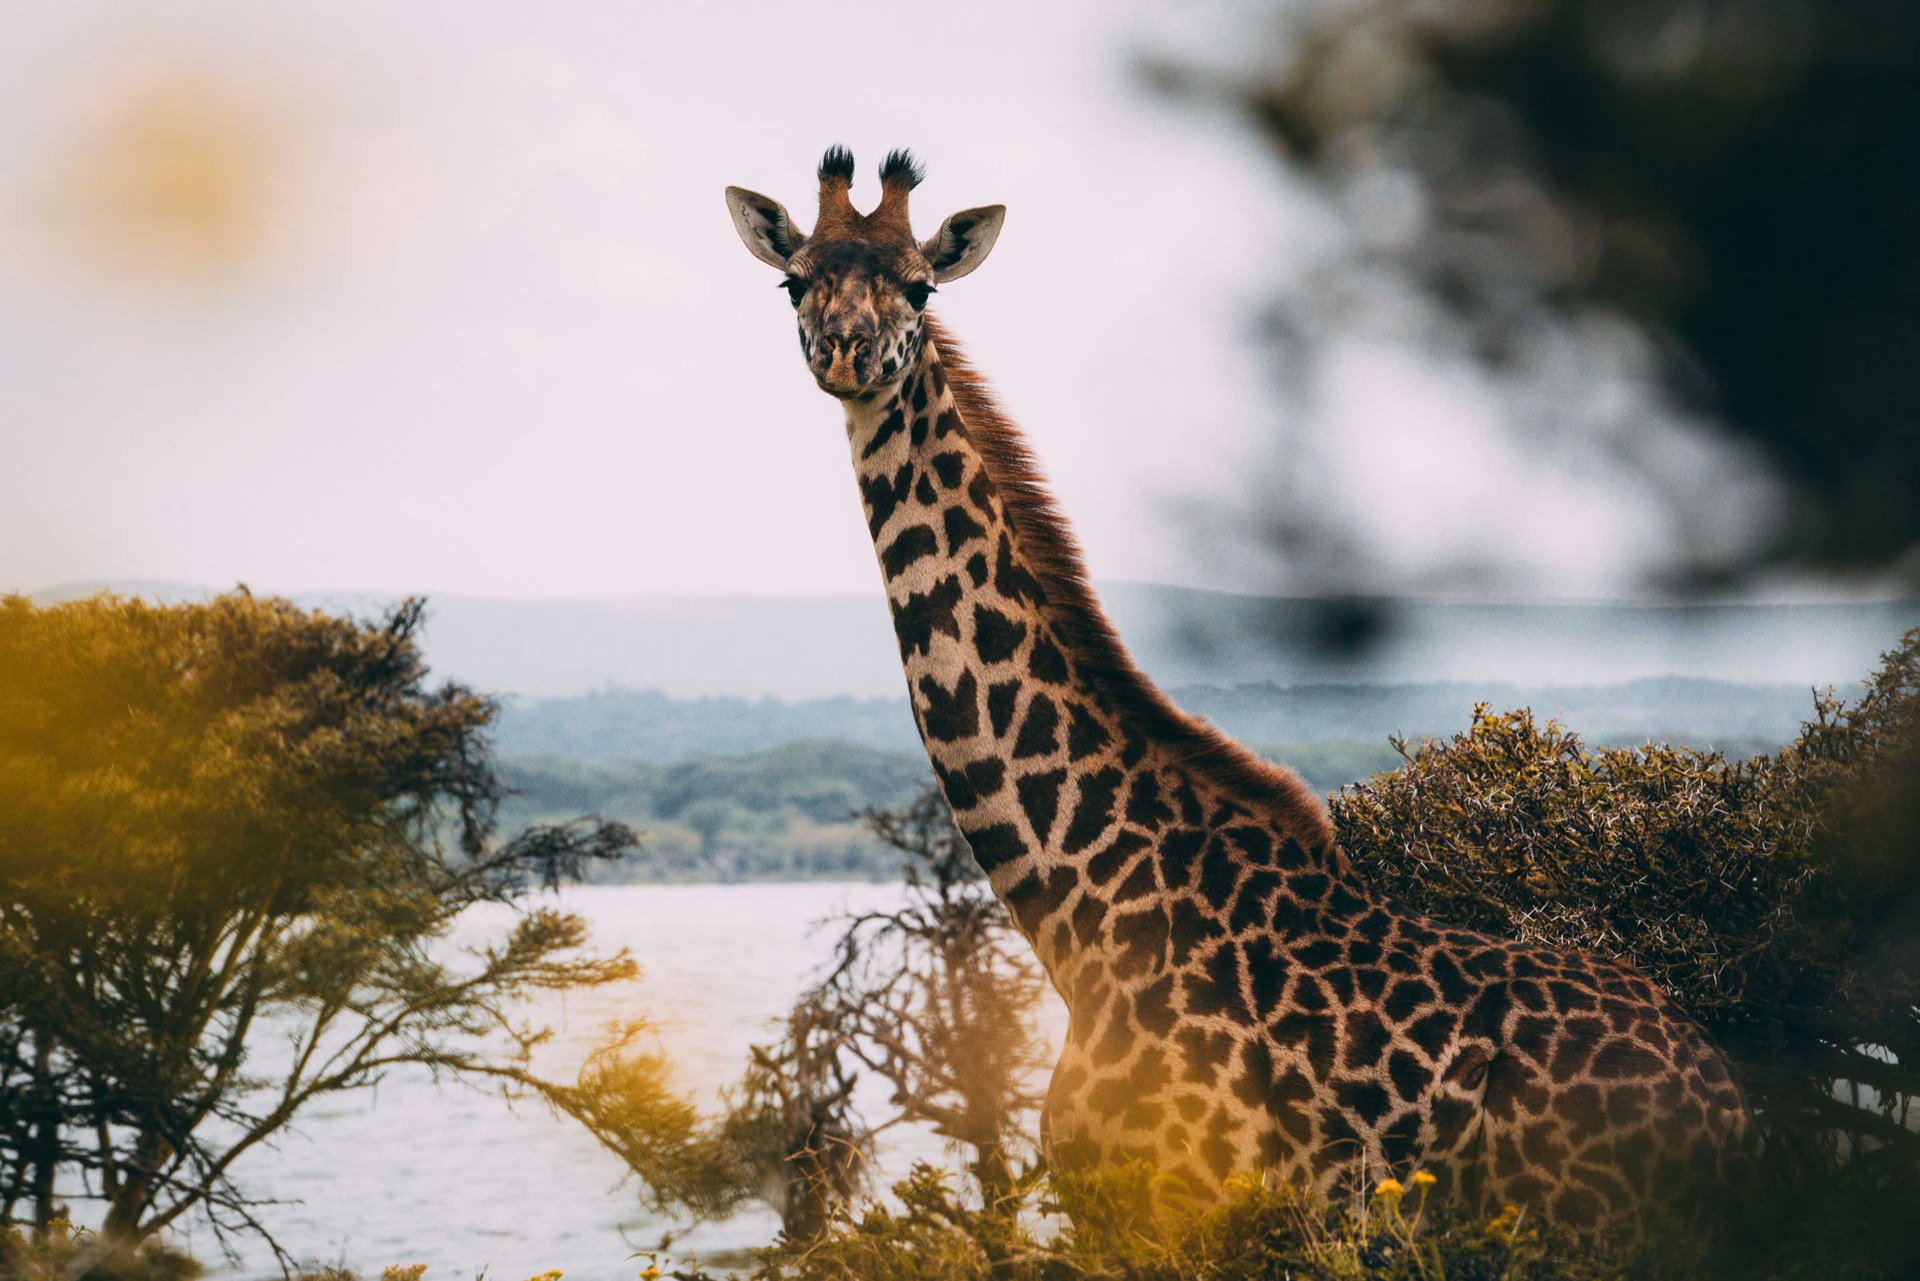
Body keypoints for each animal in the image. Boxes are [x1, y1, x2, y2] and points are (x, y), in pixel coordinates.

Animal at [723, 147, 1751, 1233]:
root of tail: (1730, 1106)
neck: (1083, 911)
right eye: (796, 280)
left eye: (920, 286)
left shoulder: (1180, 1210)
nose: (849, 354)